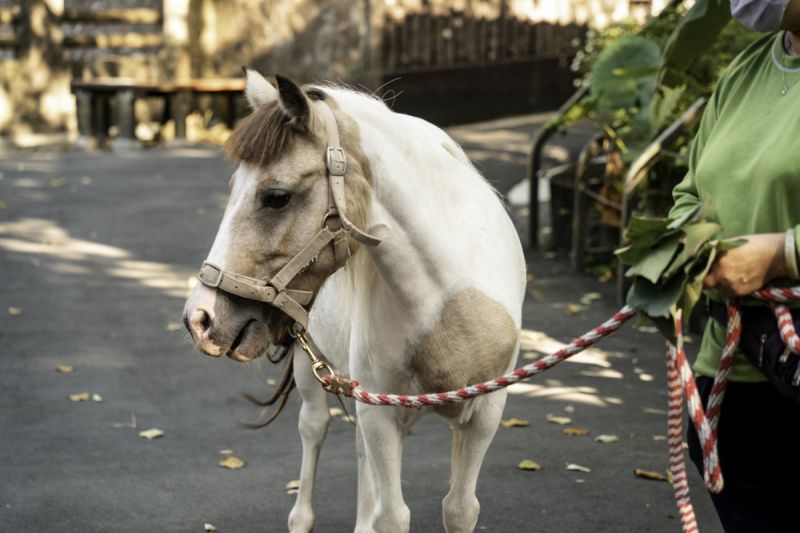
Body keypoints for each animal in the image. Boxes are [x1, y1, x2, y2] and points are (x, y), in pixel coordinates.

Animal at [184, 70, 528, 532]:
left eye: (276, 196)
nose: (200, 318)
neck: (447, 304)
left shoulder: (486, 413)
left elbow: (459, 508)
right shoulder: (380, 414)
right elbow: (392, 516)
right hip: (311, 368)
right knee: (313, 431)